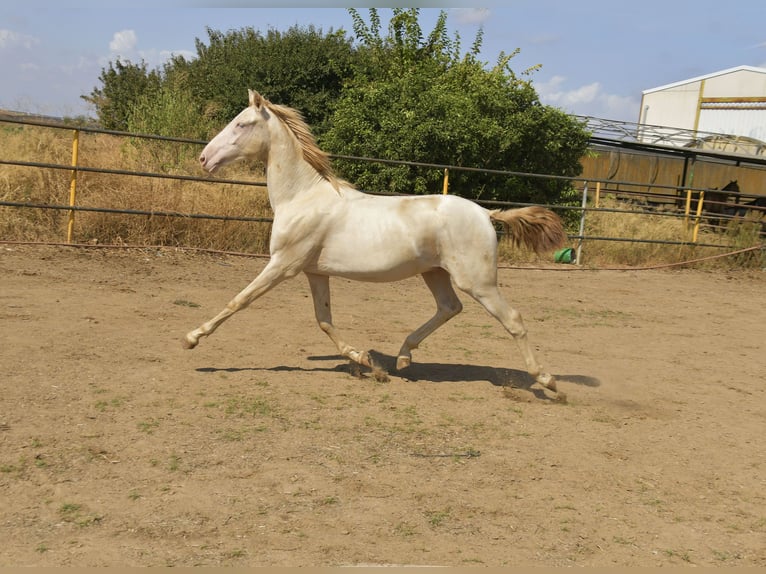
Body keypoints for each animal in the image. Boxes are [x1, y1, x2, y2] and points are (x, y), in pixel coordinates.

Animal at [182, 91, 568, 396]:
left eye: (241, 124)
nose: (204, 158)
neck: (302, 197)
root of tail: (487, 213)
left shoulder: (283, 265)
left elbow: (238, 300)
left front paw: (191, 338)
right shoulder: (314, 272)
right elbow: (324, 320)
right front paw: (366, 361)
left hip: (478, 281)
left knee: (512, 319)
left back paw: (548, 382)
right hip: (435, 273)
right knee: (449, 308)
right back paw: (403, 358)